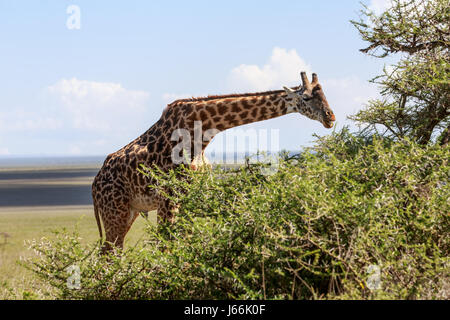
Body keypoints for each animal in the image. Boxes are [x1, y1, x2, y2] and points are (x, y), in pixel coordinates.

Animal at [93, 71, 336, 251]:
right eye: (306, 98)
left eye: (325, 95)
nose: (330, 117)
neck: (202, 130)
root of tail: (94, 186)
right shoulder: (168, 198)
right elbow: (166, 246)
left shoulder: (190, 195)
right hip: (114, 211)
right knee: (109, 253)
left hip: (129, 211)